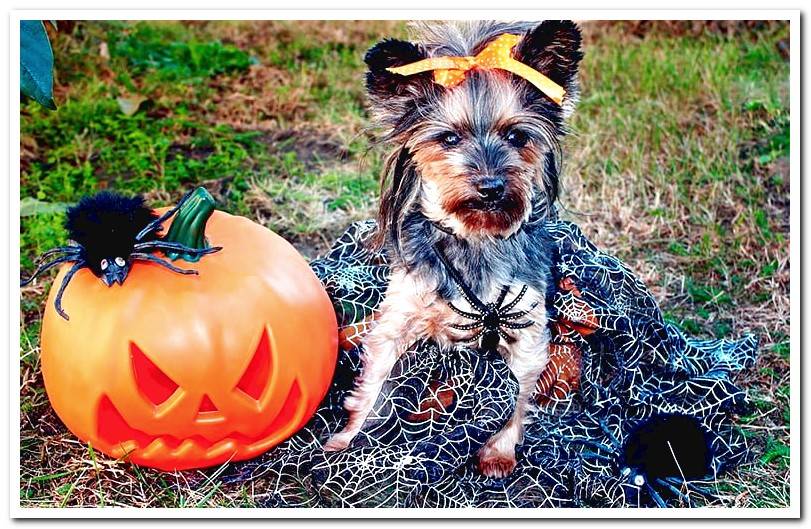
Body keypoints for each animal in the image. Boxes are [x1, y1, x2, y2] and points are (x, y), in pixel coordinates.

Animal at [324, 19, 584, 478]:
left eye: (517, 135)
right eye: (448, 138)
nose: (491, 186)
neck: (474, 239)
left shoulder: (527, 331)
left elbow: (518, 397)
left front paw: (498, 453)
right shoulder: (400, 318)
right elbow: (374, 384)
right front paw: (349, 439)